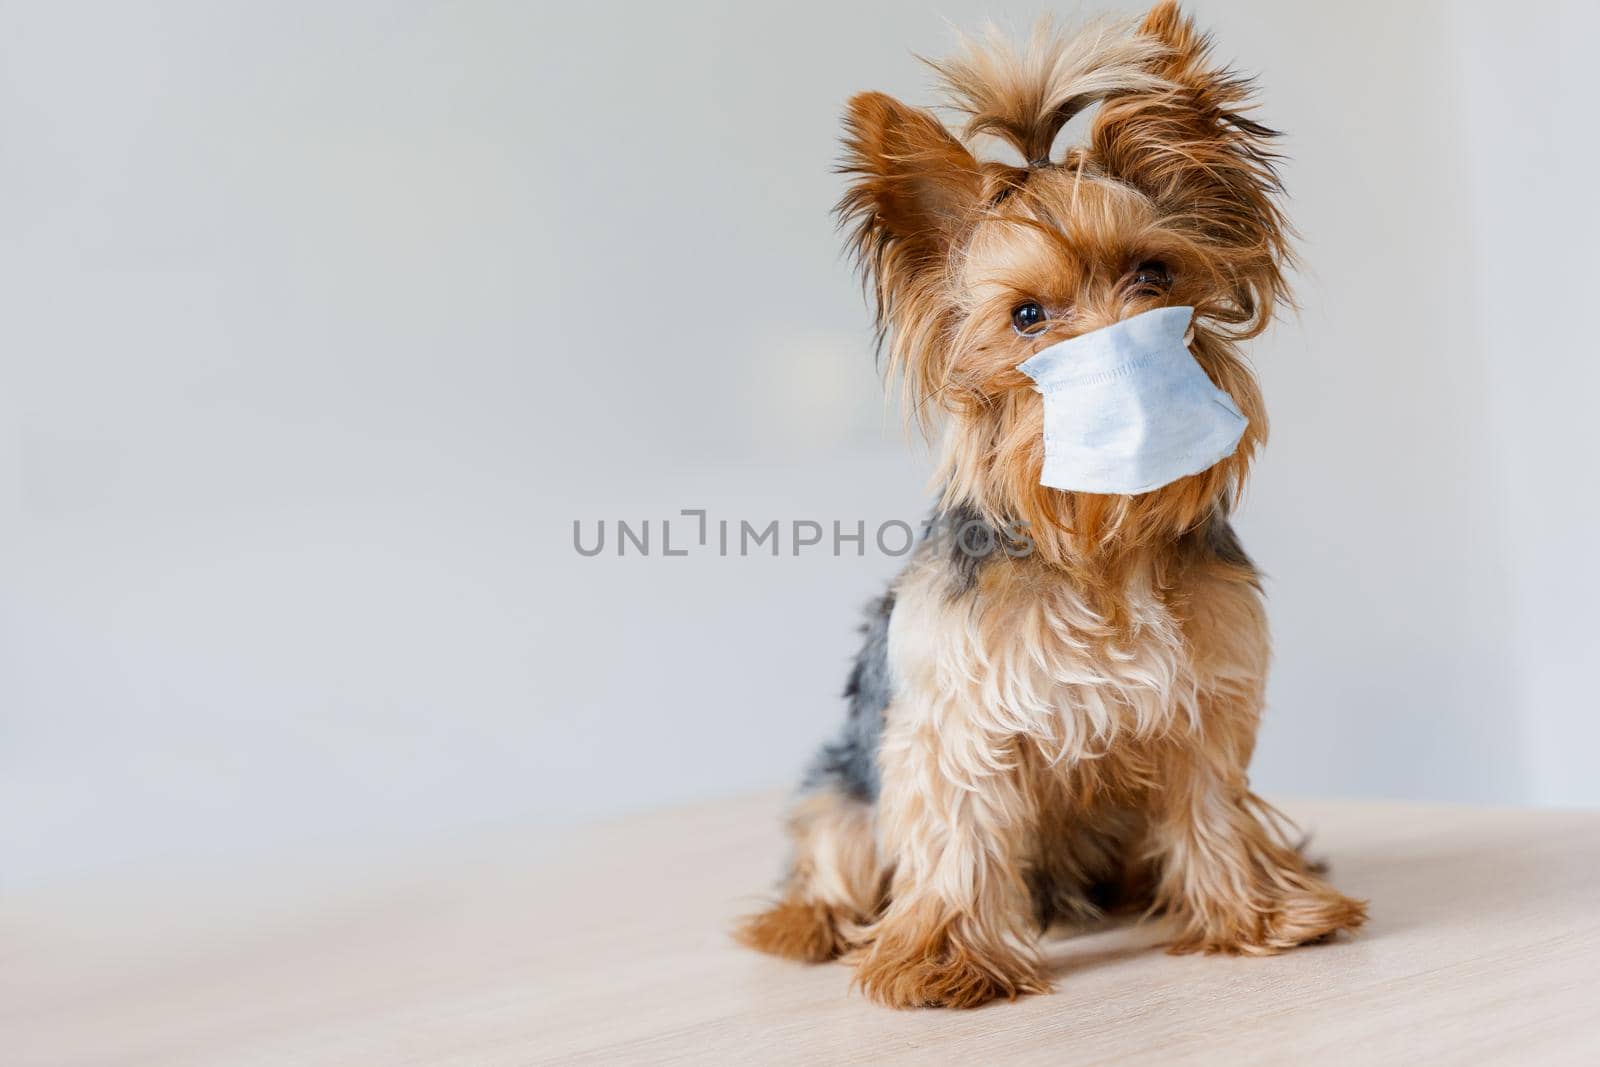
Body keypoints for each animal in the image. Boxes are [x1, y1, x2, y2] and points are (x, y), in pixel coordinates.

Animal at [732, 2, 1363, 1011]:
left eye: (1154, 273)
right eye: (1027, 316)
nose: (1128, 349)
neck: (1103, 533)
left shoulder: (1206, 699)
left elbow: (1212, 802)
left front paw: (1259, 914)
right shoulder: (958, 714)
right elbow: (957, 822)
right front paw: (944, 959)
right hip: (841, 788)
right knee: (830, 846)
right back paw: (814, 923)